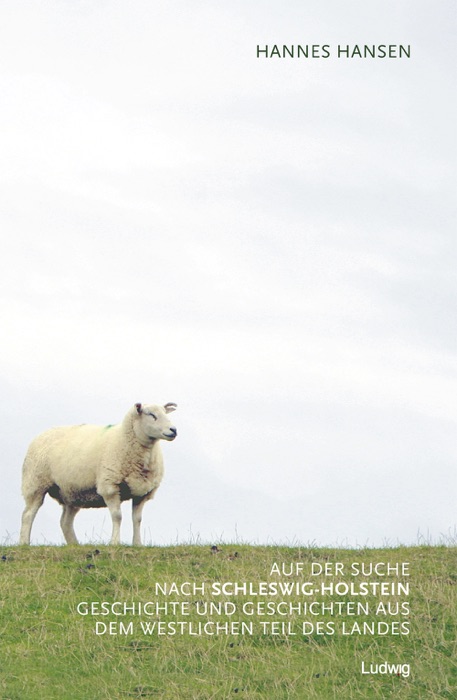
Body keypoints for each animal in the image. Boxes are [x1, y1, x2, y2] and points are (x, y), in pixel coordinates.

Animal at [19, 404, 176, 548]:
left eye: (165, 413)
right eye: (151, 414)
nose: (173, 430)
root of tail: (42, 434)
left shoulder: (142, 492)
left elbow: (137, 519)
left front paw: (137, 544)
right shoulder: (110, 486)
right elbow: (117, 516)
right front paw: (115, 542)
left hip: (72, 492)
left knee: (65, 522)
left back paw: (74, 545)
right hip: (36, 483)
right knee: (28, 514)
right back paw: (24, 543)